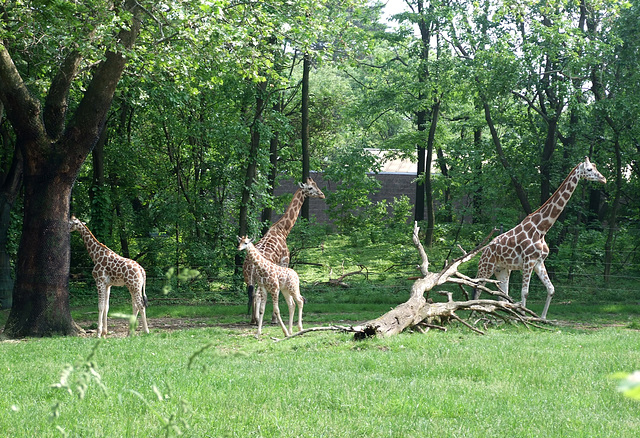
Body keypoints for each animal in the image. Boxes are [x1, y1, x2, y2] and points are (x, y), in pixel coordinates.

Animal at [244, 176, 328, 324]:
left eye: (316, 185)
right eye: (310, 187)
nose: (322, 194)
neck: (283, 230)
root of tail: (250, 263)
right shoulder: (284, 262)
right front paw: (274, 319)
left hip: (248, 277)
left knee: (252, 295)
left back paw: (253, 320)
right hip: (260, 278)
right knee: (259, 295)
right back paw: (259, 319)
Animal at [476, 157, 604, 318]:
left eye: (595, 166)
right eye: (589, 169)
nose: (603, 178)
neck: (541, 229)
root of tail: (484, 252)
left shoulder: (539, 262)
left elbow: (551, 289)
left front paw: (542, 318)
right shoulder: (528, 261)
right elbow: (525, 292)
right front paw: (524, 316)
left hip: (503, 270)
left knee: (502, 295)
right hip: (486, 267)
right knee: (477, 289)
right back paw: (474, 312)